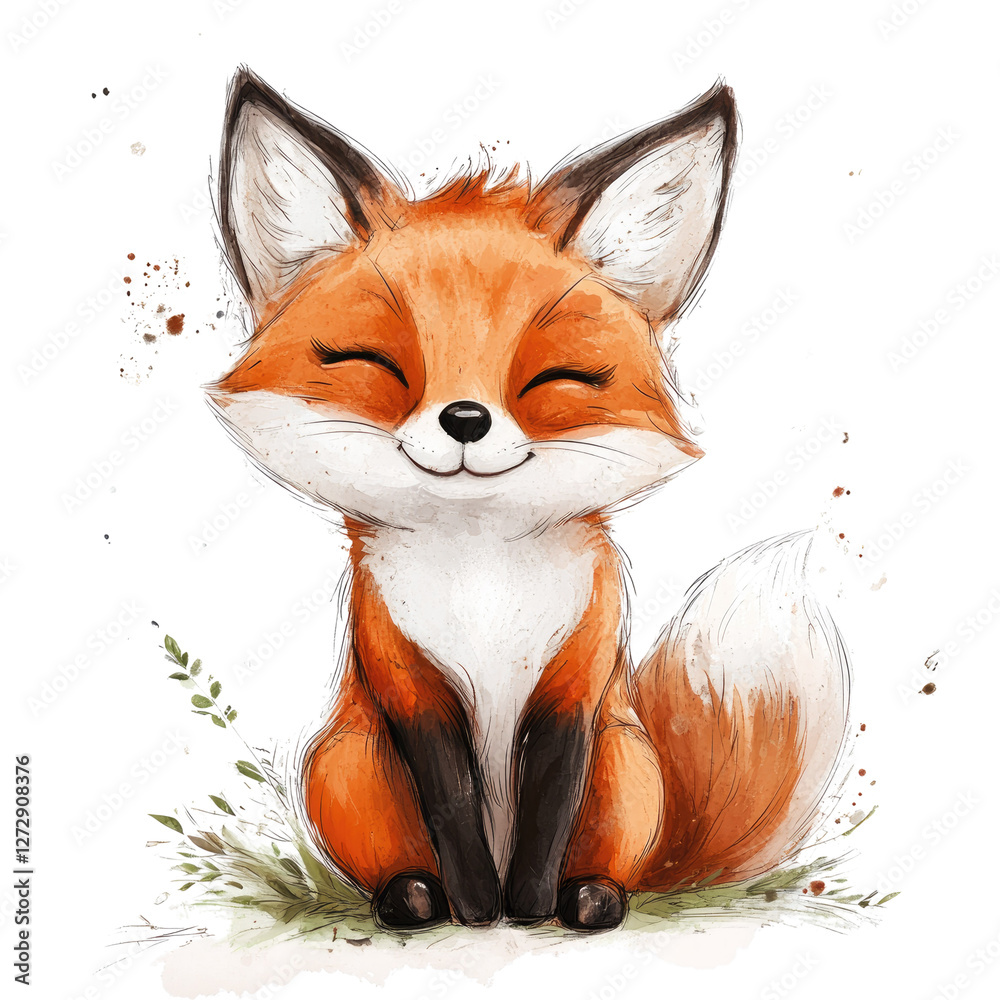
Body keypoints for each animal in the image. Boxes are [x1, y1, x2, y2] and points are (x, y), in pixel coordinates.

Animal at [207, 68, 850, 932]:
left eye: (557, 377)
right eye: (372, 362)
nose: (465, 420)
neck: (482, 579)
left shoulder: (576, 680)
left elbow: (550, 799)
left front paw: (532, 907)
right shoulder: (406, 679)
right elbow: (451, 800)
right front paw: (479, 909)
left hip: (628, 766)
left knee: (616, 858)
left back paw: (594, 899)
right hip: (344, 764)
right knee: (399, 854)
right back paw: (411, 899)